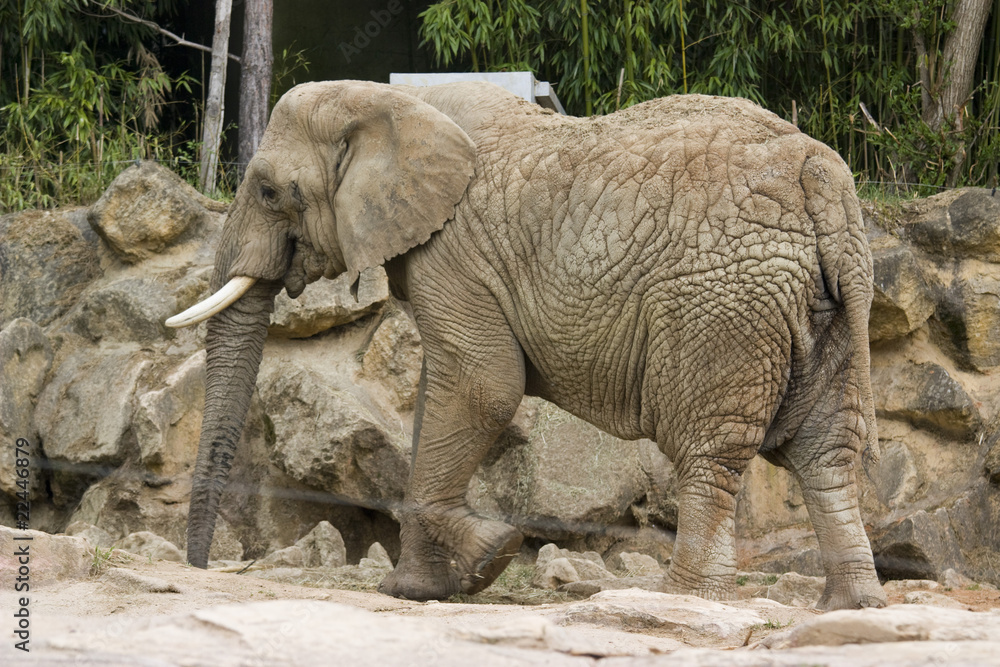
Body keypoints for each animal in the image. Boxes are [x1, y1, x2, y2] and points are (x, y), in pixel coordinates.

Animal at [166, 79, 887, 610]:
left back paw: (681, 598)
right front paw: (419, 588)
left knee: (710, 449)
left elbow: (481, 386)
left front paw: (490, 554)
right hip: (836, 295)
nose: (202, 569)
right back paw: (851, 605)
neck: (390, 99)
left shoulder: (452, 250)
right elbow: (443, 391)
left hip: (723, 304)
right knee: (827, 450)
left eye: (268, 190)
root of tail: (818, 173)